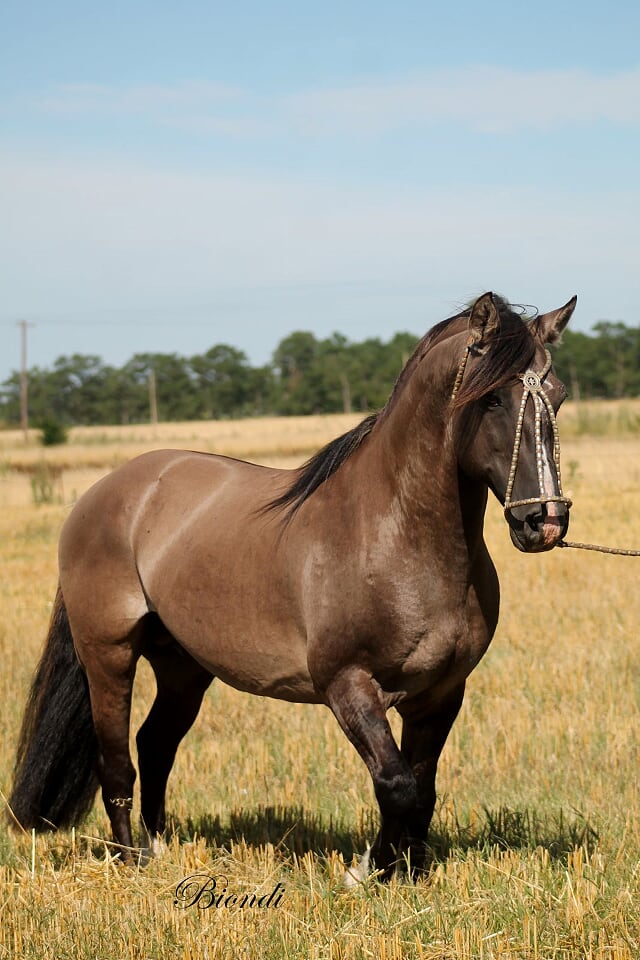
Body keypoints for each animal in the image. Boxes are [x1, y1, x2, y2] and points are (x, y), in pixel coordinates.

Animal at [7, 290, 576, 876]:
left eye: (557, 396)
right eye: (493, 399)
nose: (544, 521)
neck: (393, 534)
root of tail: (103, 493)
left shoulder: (440, 693)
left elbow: (422, 788)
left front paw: (408, 871)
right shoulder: (348, 684)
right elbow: (396, 783)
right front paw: (367, 871)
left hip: (183, 665)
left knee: (155, 743)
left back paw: (159, 847)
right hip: (109, 653)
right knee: (115, 758)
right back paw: (132, 860)